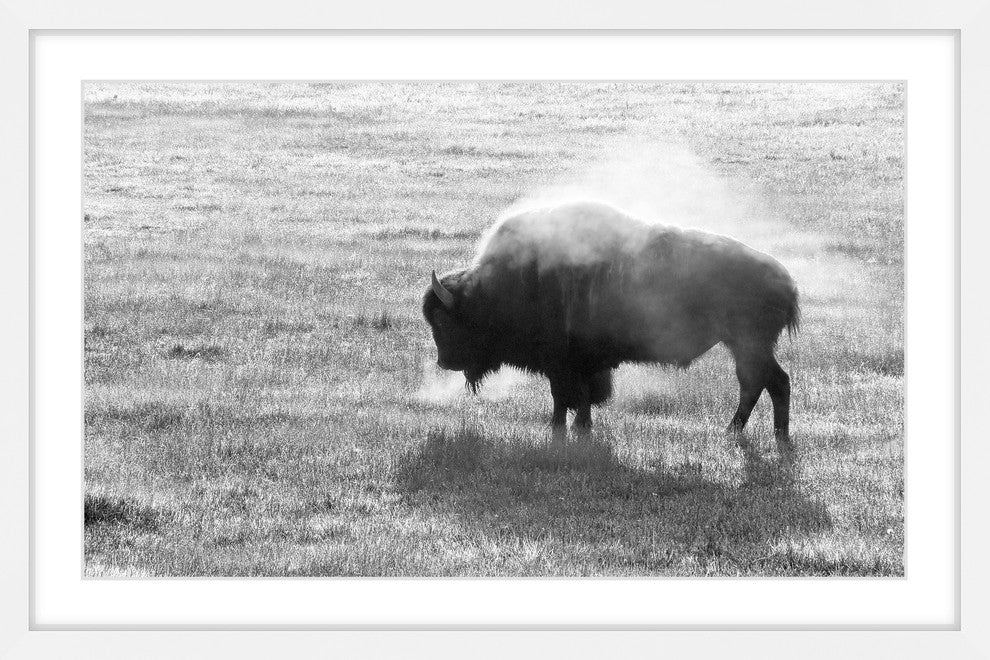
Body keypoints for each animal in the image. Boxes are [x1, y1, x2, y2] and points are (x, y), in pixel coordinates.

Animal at [423, 201, 799, 444]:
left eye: (443, 322)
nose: (444, 362)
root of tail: (786, 281)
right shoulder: (582, 365)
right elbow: (581, 397)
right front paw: (579, 428)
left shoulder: (562, 364)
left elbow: (565, 396)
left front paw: (561, 430)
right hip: (745, 345)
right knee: (765, 383)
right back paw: (756, 433)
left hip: (749, 344)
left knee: (765, 382)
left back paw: (755, 434)